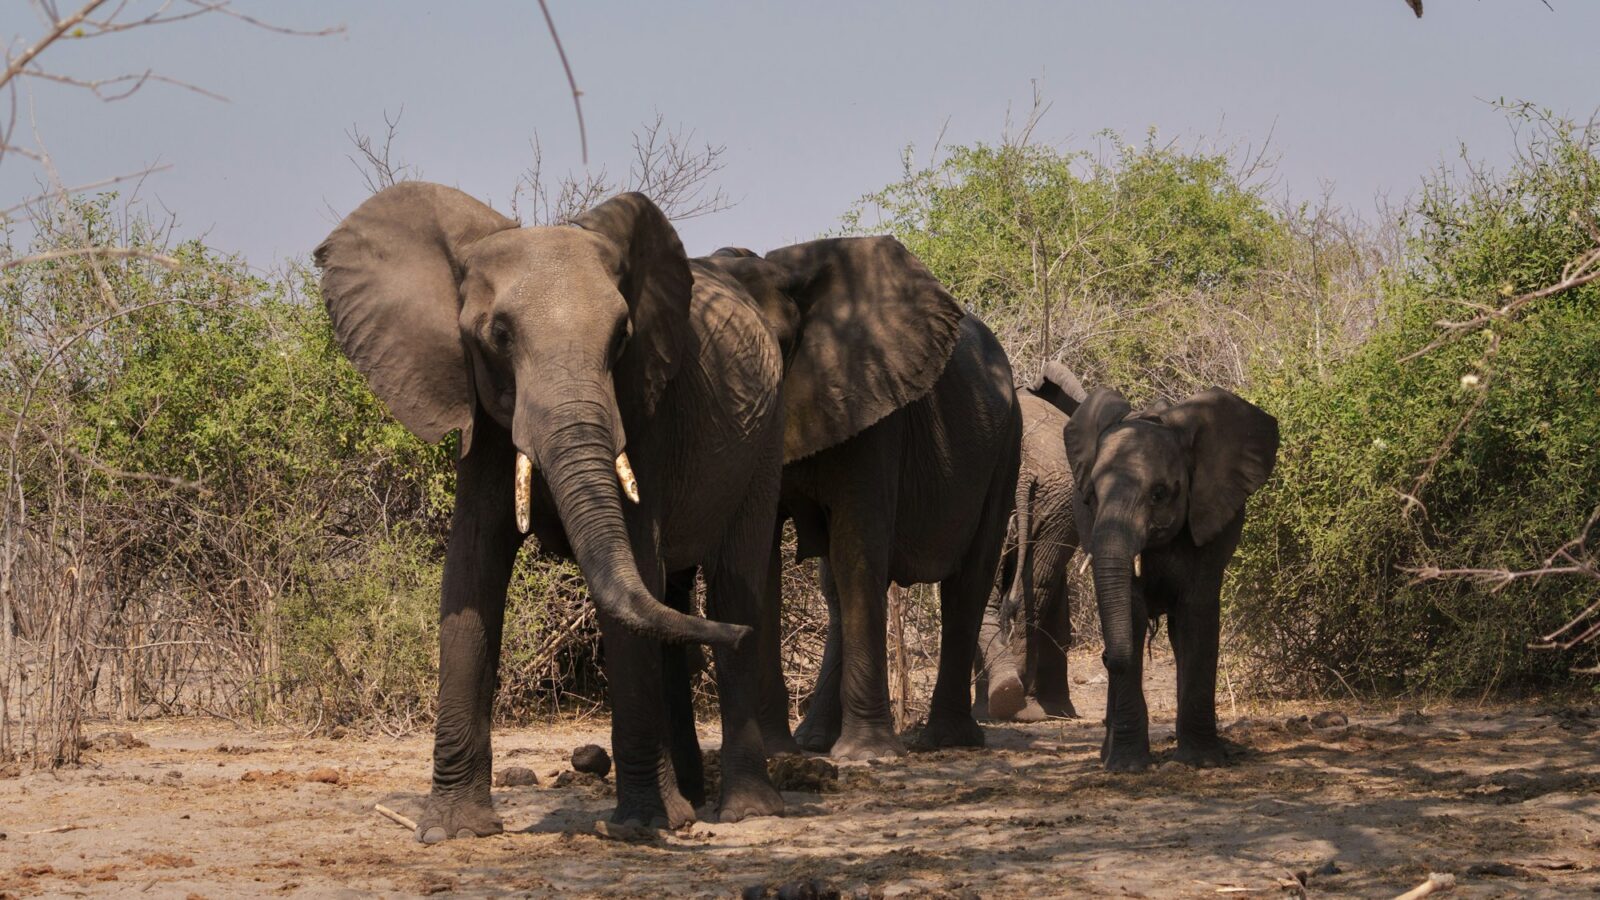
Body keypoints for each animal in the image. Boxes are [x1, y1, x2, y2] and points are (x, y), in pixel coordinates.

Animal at [315, 184, 786, 840]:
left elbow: (634, 569)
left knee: (731, 582)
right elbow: (470, 571)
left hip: (766, 434)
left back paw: (743, 810)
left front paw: (641, 827)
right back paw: (692, 800)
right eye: (499, 335)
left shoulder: (645, 411)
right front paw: (454, 831)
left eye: (621, 337)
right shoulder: (480, 414)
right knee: (674, 596)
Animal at [703, 240, 1024, 760]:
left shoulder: (875, 412)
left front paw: (867, 756)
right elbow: (763, 560)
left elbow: (859, 549)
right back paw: (813, 741)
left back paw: (944, 740)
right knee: (836, 588)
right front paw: (776, 753)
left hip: (1006, 444)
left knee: (968, 578)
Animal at [1065, 385, 1279, 772]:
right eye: (1093, 496)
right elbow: (1131, 615)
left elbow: (1197, 614)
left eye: (1159, 493)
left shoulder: (1211, 517)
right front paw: (1126, 766)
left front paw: (1203, 762)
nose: (1104, 658)